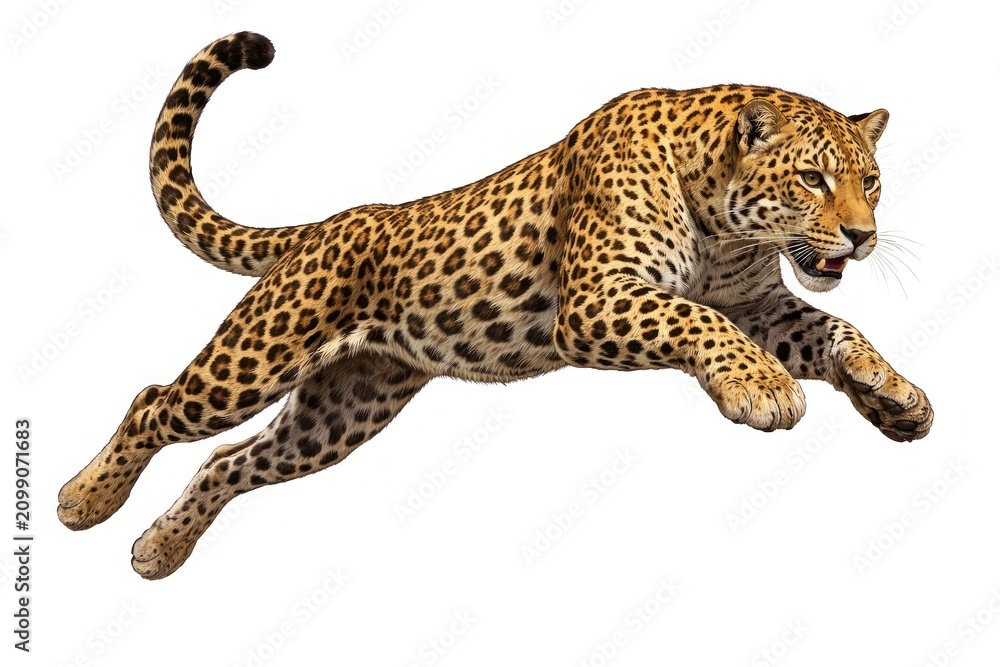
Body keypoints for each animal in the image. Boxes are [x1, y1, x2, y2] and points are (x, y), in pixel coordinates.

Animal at [57, 32, 933, 579]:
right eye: (813, 179)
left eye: (872, 180)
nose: (863, 236)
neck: (724, 223)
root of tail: (327, 225)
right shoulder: (598, 299)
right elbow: (696, 318)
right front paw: (761, 389)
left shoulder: (762, 310)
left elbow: (837, 328)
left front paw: (896, 396)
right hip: (258, 354)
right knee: (155, 402)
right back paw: (83, 500)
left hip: (345, 407)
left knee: (228, 460)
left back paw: (157, 551)